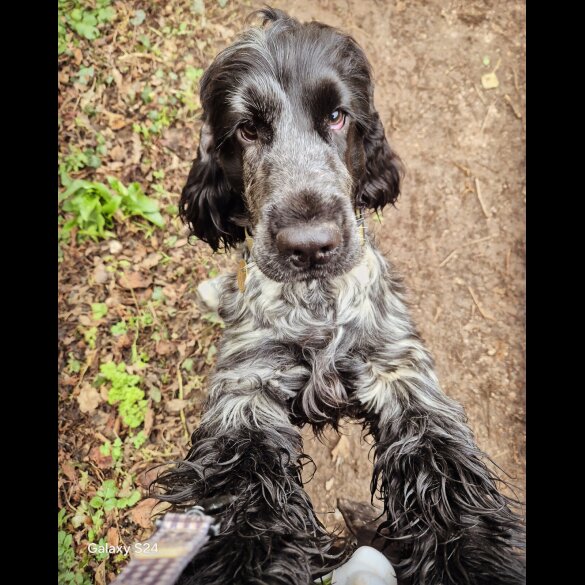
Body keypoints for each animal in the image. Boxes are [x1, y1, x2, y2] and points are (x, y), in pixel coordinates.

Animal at [154, 9, 524, 584]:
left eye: (336, 116)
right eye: (247, 129)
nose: (309, 246)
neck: (316, 300)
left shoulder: (398, 370)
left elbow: (445, 474)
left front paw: (473, 559)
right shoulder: (246, 387)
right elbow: (239, 495)